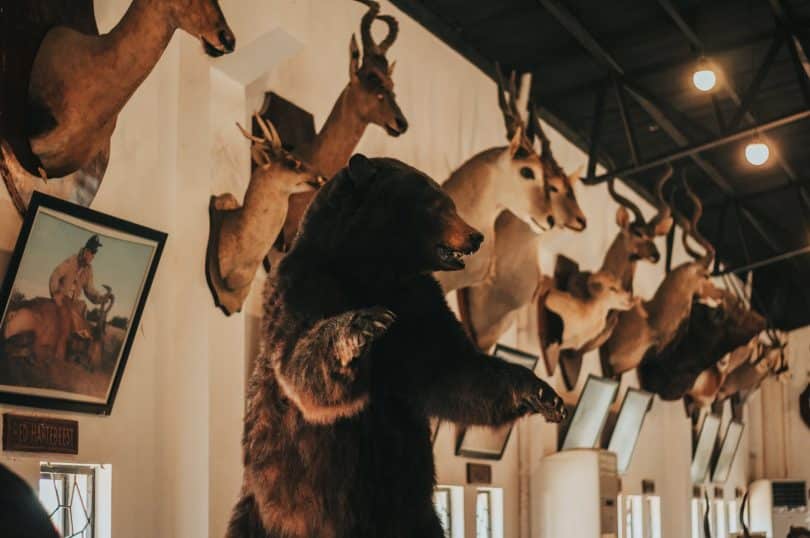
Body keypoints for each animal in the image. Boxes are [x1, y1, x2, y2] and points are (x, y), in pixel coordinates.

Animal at [224, 153, 564, 532]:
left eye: (450, 203)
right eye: (438, 204)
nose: (475, 237)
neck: (373, 268)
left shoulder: (418, 302)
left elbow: (452, 369)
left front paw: (542, 393)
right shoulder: (299, 280)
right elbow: (299, 356)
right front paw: (360, 327)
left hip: (415, 510)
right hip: (267, 508)